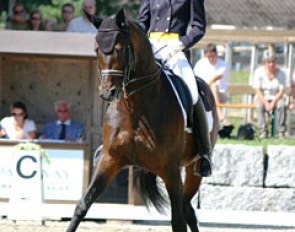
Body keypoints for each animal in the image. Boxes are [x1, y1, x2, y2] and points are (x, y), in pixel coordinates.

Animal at [67, 8, 220, 232]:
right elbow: (82, 205)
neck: (136, 111)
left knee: (186, 209)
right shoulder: (109, 160)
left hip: (193, 169)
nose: (107, 93)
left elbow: (177, 222)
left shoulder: (171, 170)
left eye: (119, 49)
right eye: (96, 49)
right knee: (188, 210)